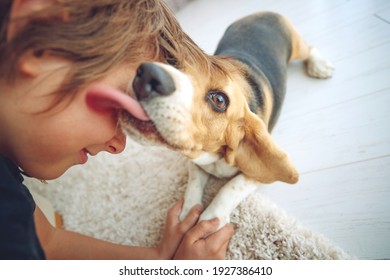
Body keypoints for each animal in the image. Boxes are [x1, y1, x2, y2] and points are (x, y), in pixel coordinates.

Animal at [119, 12, 332, 230]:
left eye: (219, 100)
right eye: (173, 63)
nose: (146, 73)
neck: (215, 155)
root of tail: (262, 12)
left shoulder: (258, 174)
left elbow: (231, 187)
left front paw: (211, 218)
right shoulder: (195, 161)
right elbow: (194, 182)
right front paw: (187, 214)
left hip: (296, 46)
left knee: (310, 48)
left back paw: (319, 65)